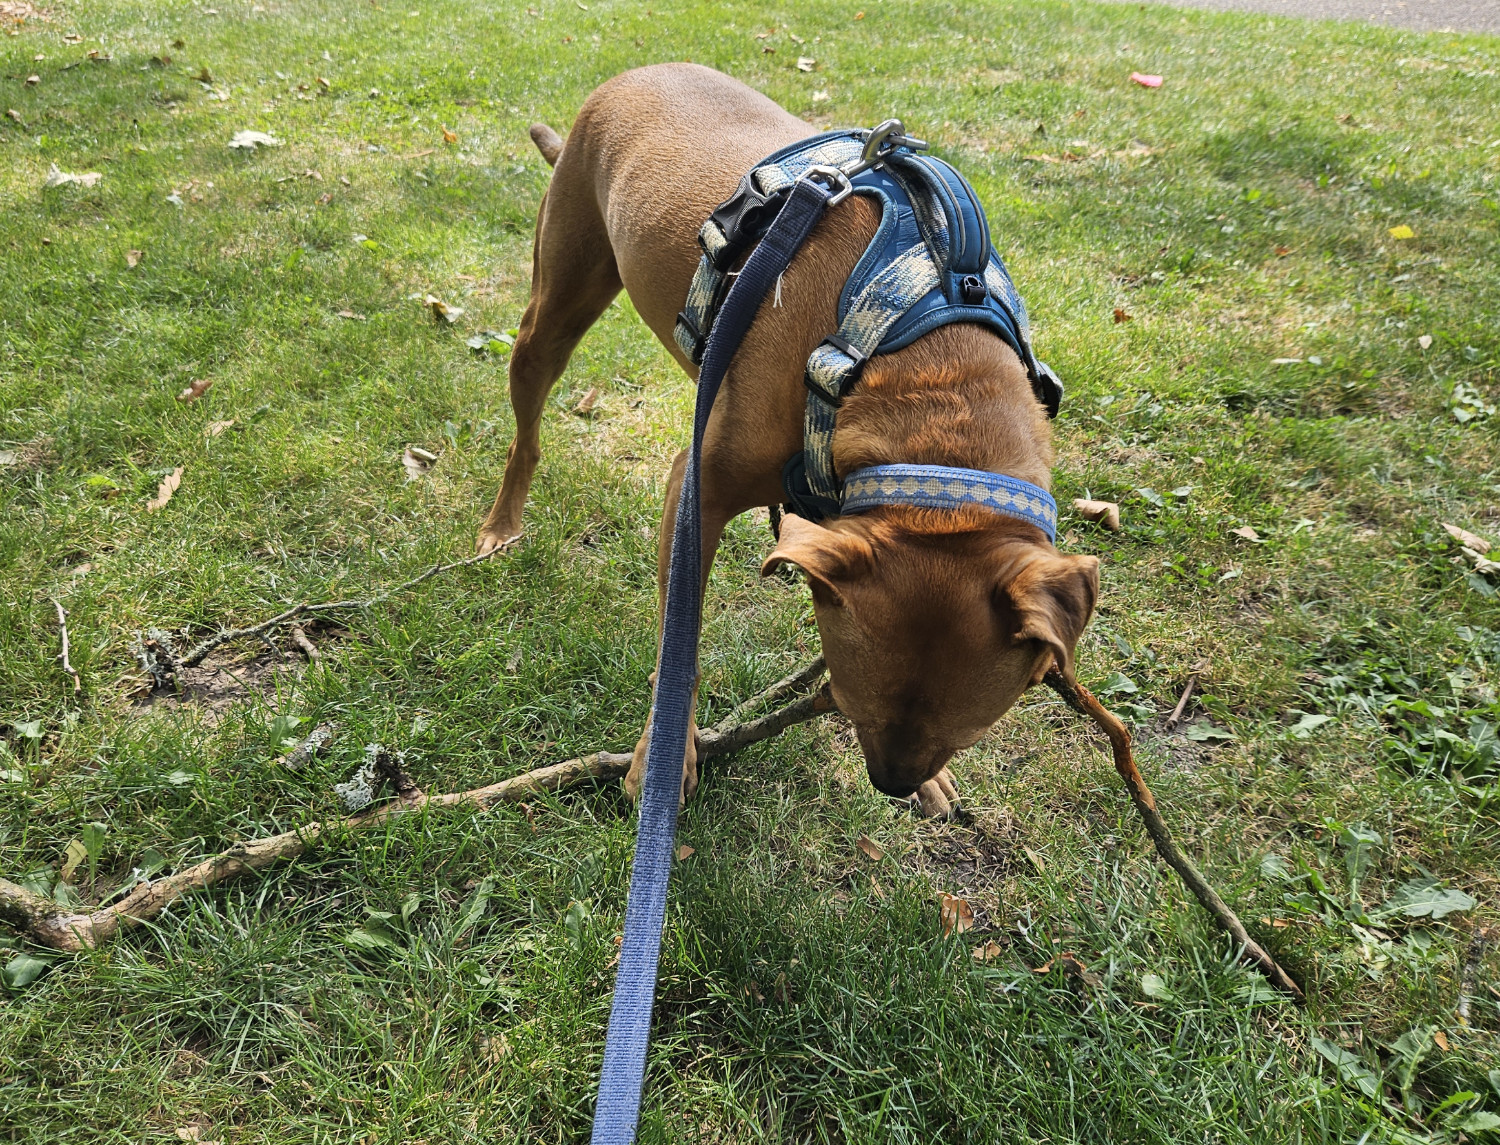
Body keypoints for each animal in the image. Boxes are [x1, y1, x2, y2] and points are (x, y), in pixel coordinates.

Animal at [480, 64, 1104, 816]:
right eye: (856, 701)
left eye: (972, 729)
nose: (893, 782)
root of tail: (633, 73)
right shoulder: (697, 490)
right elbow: (680, 648)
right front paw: (661, 758)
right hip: (553, 306)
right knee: (527, 433)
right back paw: (501, 525)